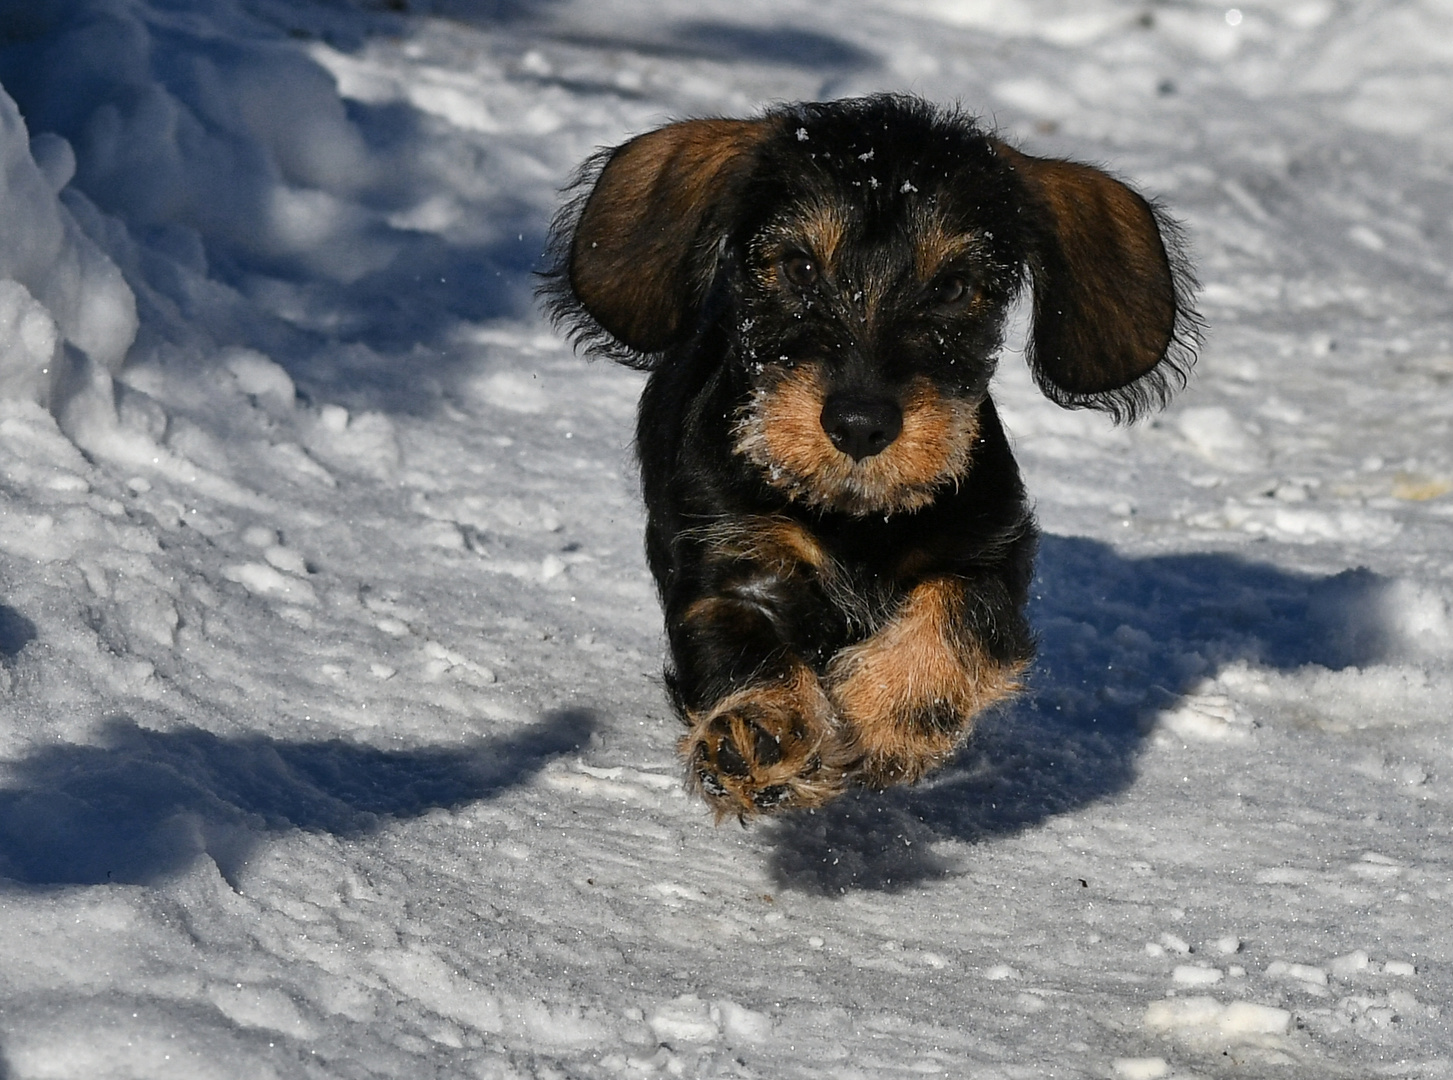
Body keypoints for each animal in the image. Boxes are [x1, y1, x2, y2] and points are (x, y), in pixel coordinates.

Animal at [540, 95, 1197, 819]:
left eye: (953, 287)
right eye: (799, 267)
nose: (859, 424)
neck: (854, 516)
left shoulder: (990, 553)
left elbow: (957, 615)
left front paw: (892, 716)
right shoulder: (727, 560)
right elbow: (742, 643)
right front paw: (758, 735)